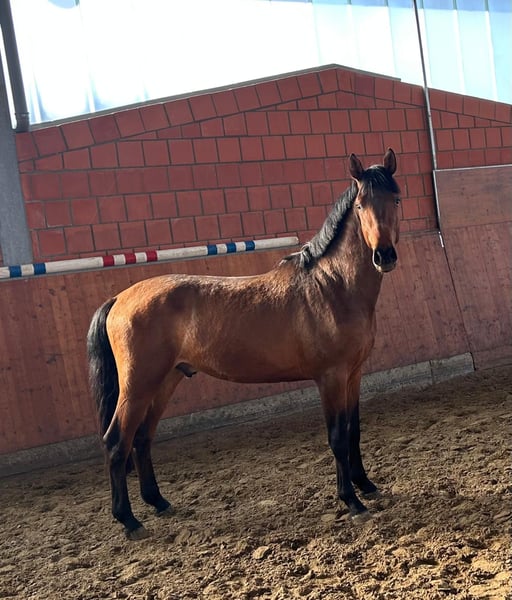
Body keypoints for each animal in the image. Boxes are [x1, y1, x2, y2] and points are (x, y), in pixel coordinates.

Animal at [87, 148, 401, 540]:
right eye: (360, 205)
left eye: (396, 199)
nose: (384, 256)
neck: (332, 286)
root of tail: (119, 298)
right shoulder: (330, 377)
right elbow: (337, 437)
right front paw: (352, 502)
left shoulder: (353, 374)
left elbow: (354, 431)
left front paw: (367, 486)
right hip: (139, 385)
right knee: (118, 441)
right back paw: (129, 520)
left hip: (166, 380)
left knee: (142, 438)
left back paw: (159, 503)